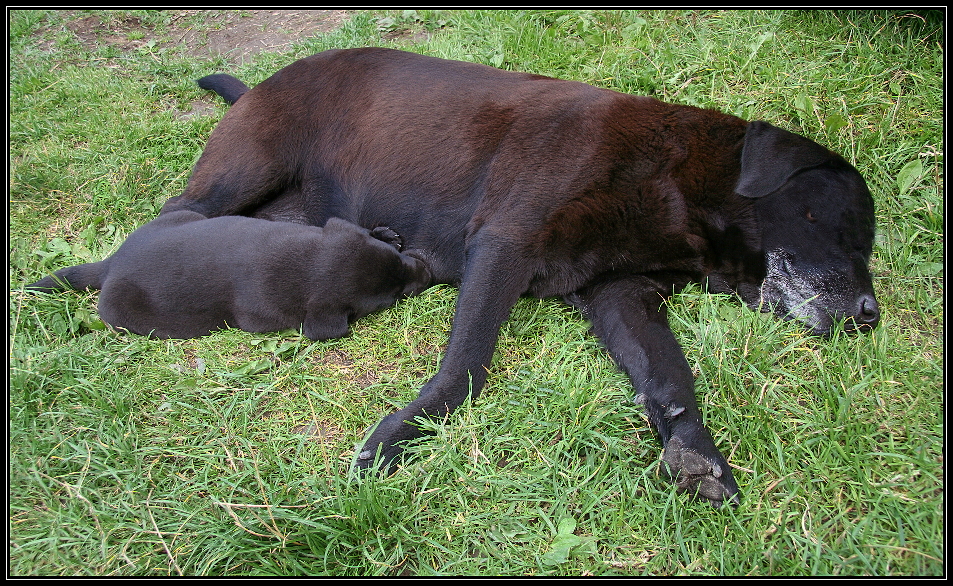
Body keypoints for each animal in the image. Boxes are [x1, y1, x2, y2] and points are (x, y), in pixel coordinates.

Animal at [27, 209, 432, 338]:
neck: (309, 261)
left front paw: (385, 232)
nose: (428, 270)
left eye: (397, 259)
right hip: (126, 315)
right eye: (393, 298)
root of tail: (111, 263)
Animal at [162, 46, 876, 502]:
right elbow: (466, 369)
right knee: (176, 216)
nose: (871, 314)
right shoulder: (504, 243)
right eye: (851, 234)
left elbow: (670, 376)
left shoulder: (621, 295)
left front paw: (695, 446)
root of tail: (259, 84)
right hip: (247, 167)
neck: (677, 182)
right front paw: (400, 435)